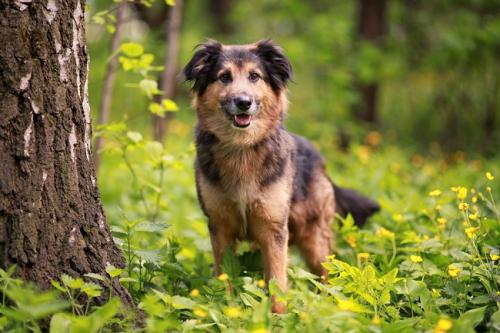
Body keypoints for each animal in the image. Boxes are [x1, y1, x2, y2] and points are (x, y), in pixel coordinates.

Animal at [184, 40, 378, 312]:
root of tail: (320, 160)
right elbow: (225, 276)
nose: (243, 102)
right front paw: (228, 310)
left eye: (255, 76)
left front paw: (278, 316)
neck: (241, 149)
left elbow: (277, 282)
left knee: (326, 275)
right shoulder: (220, 226)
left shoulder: (273, 229)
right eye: (224, 77)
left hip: (315, 240)